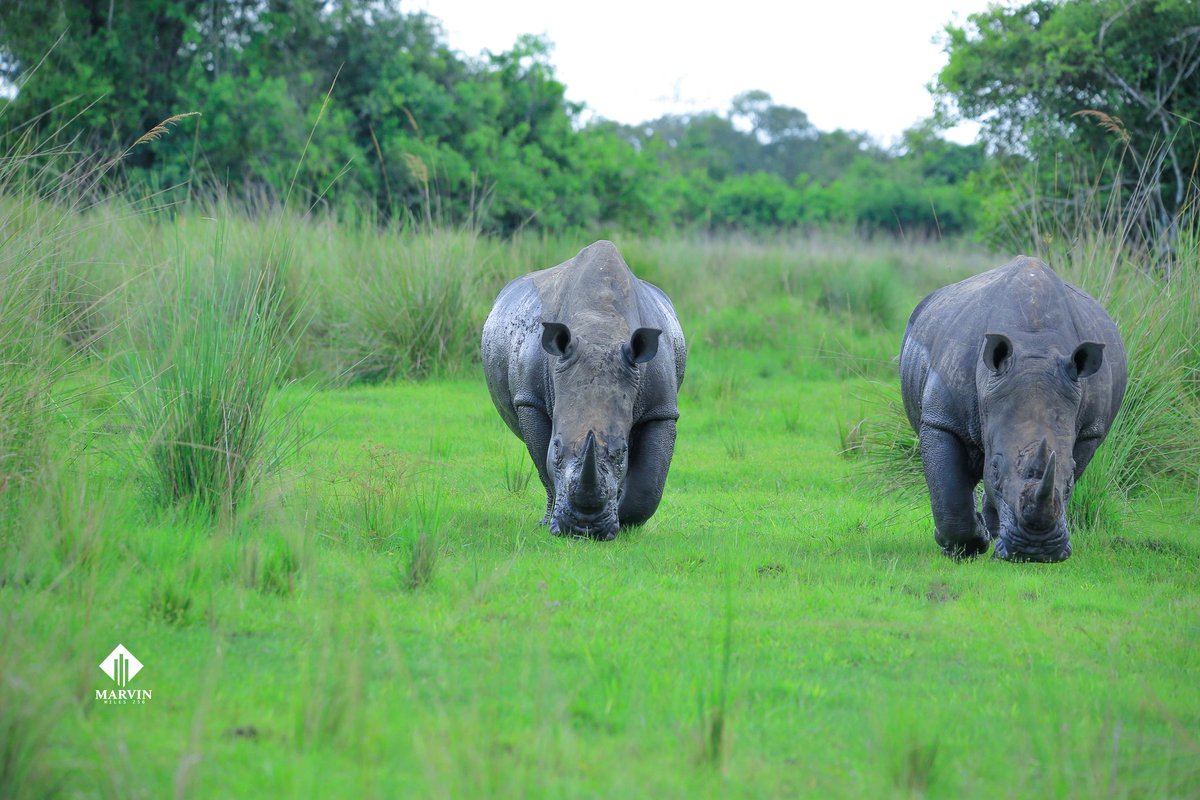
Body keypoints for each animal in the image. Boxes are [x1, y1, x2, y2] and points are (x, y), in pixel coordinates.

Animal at [481, 240, 686, 539]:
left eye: (622, 452)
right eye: (557, 448)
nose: (584, 529)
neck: (601, 330)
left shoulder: (660, 408)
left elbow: (650, 481)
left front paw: (626, 521)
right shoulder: (530, 400)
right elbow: (545, 468)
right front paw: (551, 524)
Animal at [899, 256, 1127, 562]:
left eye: (1069, 480)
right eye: (995, 471)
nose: (1036, 550)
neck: (1035, 347)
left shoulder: (1091, 429)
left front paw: (986, 538)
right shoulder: (942, 419)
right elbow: (948, 491)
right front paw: (966, 545)